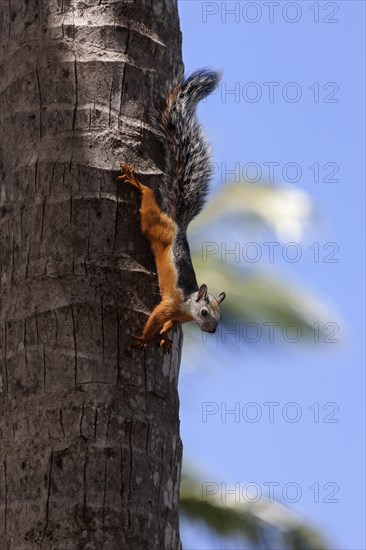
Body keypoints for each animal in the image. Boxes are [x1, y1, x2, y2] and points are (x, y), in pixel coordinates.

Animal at [118, 70, 224, 354]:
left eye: (220, 317)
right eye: (205, 312)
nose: (212, 331)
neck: (187, 307)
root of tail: (178, 225)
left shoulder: (178, 317)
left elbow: (169, 326)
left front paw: (165, 337)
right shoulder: (169, 305)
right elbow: (155, 318)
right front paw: (145, 338)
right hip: (155, 223)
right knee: (148, 207)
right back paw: (139, 185)